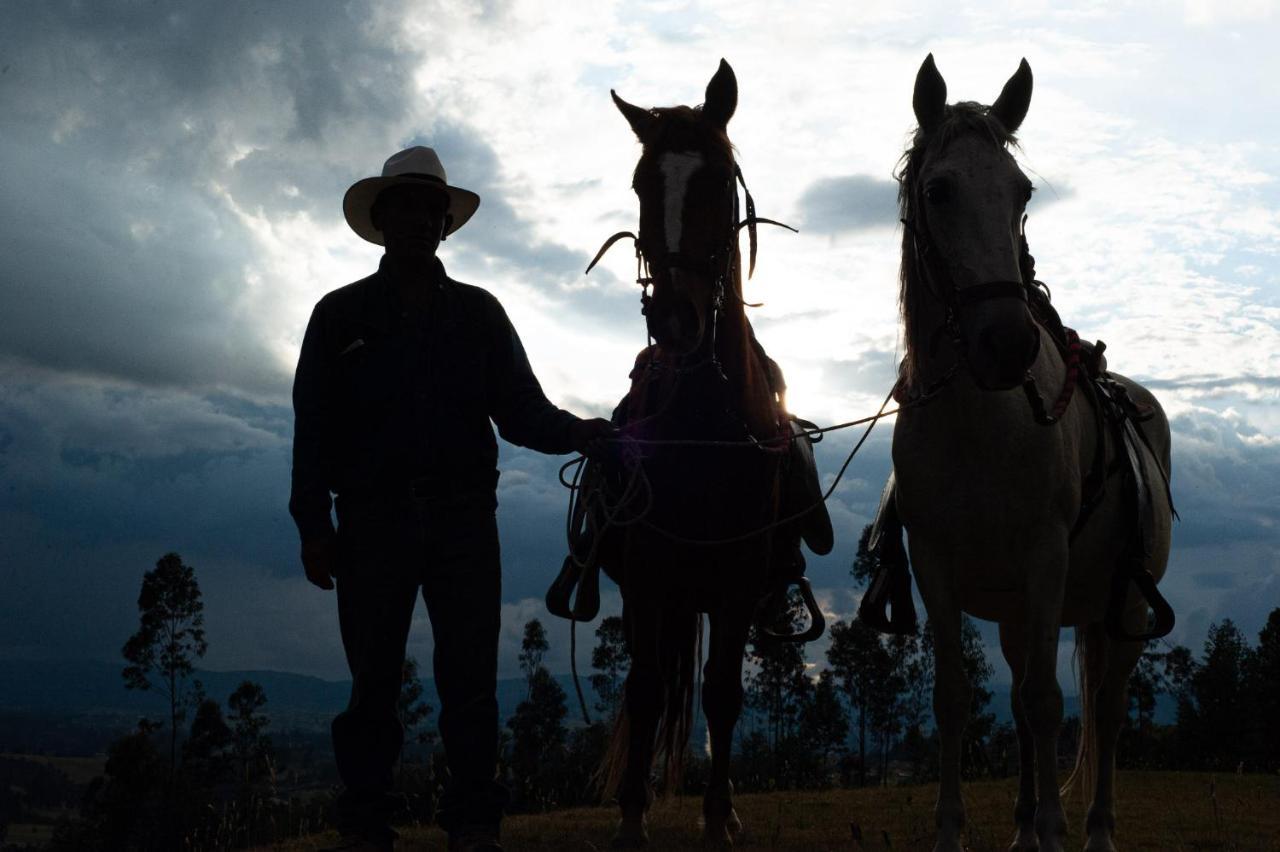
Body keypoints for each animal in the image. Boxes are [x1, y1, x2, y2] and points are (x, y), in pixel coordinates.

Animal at [591, 59, 829, 844]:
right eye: (642, 182)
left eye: (719, 178)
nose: (675, 318)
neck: (703, 422)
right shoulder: (647, 575)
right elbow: (643, 690)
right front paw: (632, 817)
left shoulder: (739, 579)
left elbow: (722, 693)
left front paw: (721, 814)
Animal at [885, 54, 1172, 849]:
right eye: (939, 190)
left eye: (1021, 193)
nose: (1007, 344)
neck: (978, 424)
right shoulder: (935, 564)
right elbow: (957, 699)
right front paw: (956, 829)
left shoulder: (1046, 558)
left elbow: (1049, 703)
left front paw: (1052, 826)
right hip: (1023, 616)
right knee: (1023, 701)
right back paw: (1022, 825)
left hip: (1122, 613)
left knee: (1104, 709)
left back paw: (1093, 827)